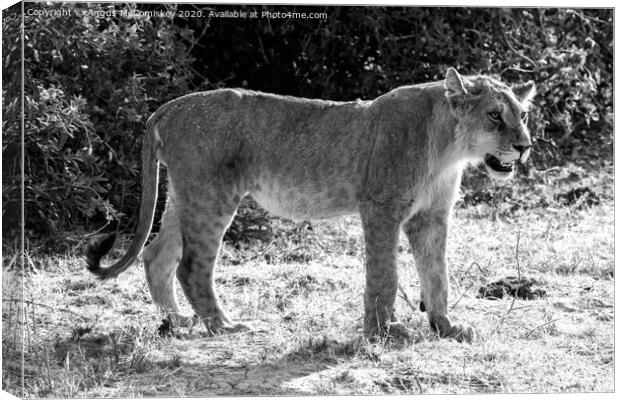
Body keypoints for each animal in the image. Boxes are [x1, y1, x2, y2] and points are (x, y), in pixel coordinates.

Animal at [85, 68, 536, 340]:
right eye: (494, 115)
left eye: (523, 115)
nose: (525, 146)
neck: (447, 149)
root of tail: (167, 107)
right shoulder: (381, 208)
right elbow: (384, 277)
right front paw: (384, 333)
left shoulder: (432, 217)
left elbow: (437, 275)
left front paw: (446, 327)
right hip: (212, 195)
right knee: (191, 265)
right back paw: (225, 326)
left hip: (185, 195)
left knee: (157, 255)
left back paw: (178, 321)